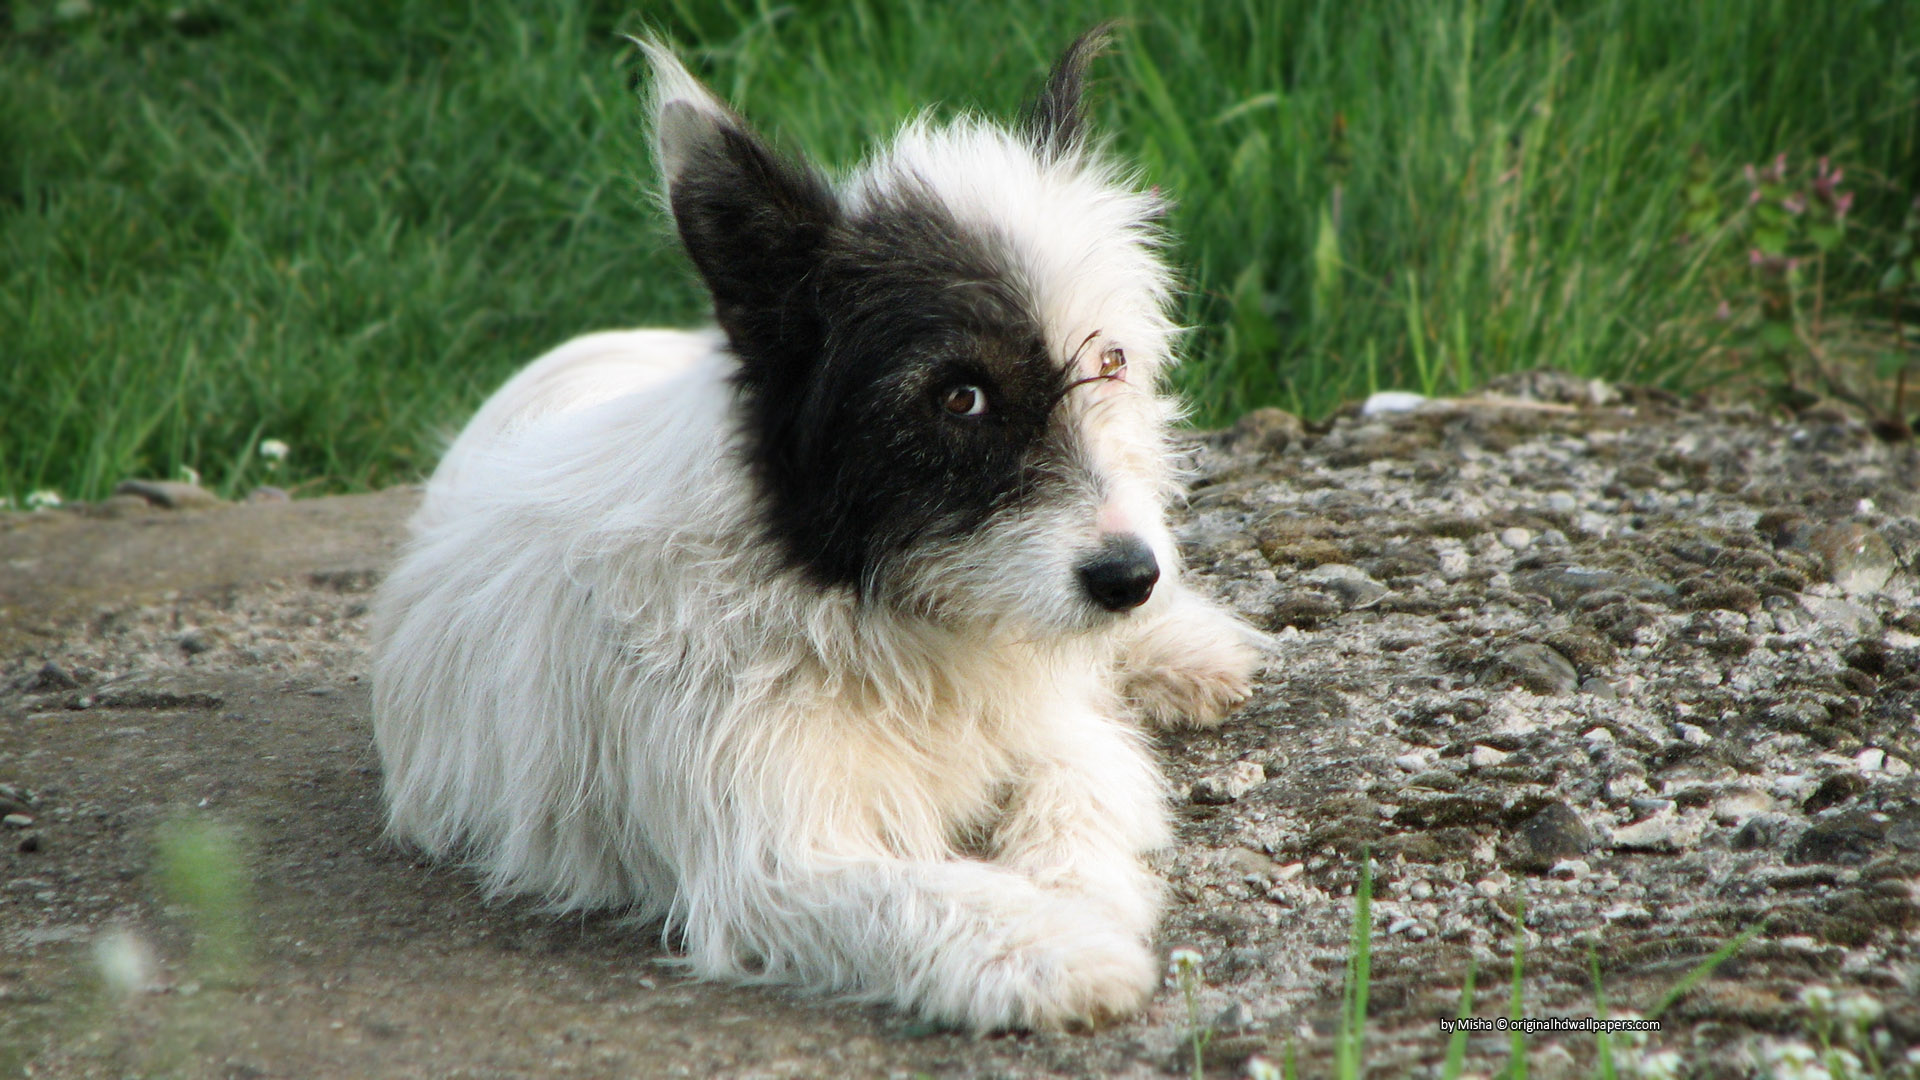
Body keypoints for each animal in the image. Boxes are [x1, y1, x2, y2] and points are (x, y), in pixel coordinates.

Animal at [372, 31, 1267, 1022]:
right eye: (960, 396)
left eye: (1110, 361)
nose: (1129, 578)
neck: (868, 606)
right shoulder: (774, 863)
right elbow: (920, 897)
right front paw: (1065, 950)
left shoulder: (1064, 735)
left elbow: (1077, 793)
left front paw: (1078, 899)